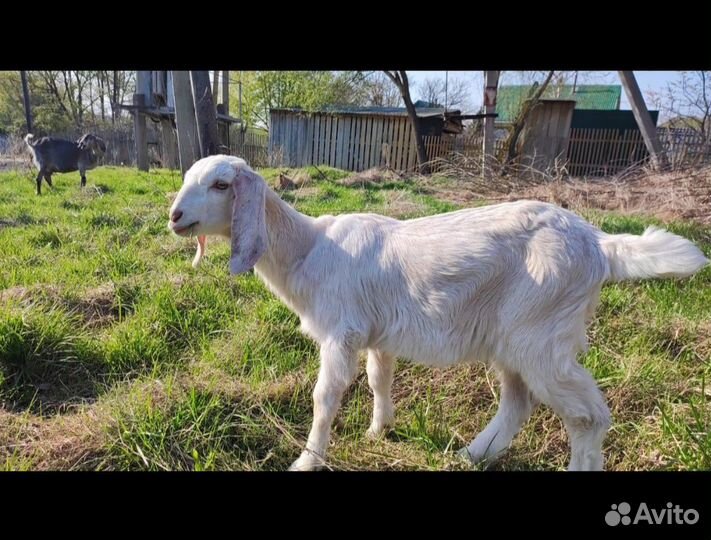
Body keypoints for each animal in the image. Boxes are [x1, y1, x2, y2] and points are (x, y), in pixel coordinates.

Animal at [168, 155, 709, 471]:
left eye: (221, 185)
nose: (174, 216)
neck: (308, 248)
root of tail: (599, 244)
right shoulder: (375, 332)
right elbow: (379, 379)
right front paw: (379, 429)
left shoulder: (341, 332)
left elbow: (325, 397)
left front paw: (308, 460)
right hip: (516, 338)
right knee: (518, 403)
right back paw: (471, 454)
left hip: (540, 334)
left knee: (587, 416)